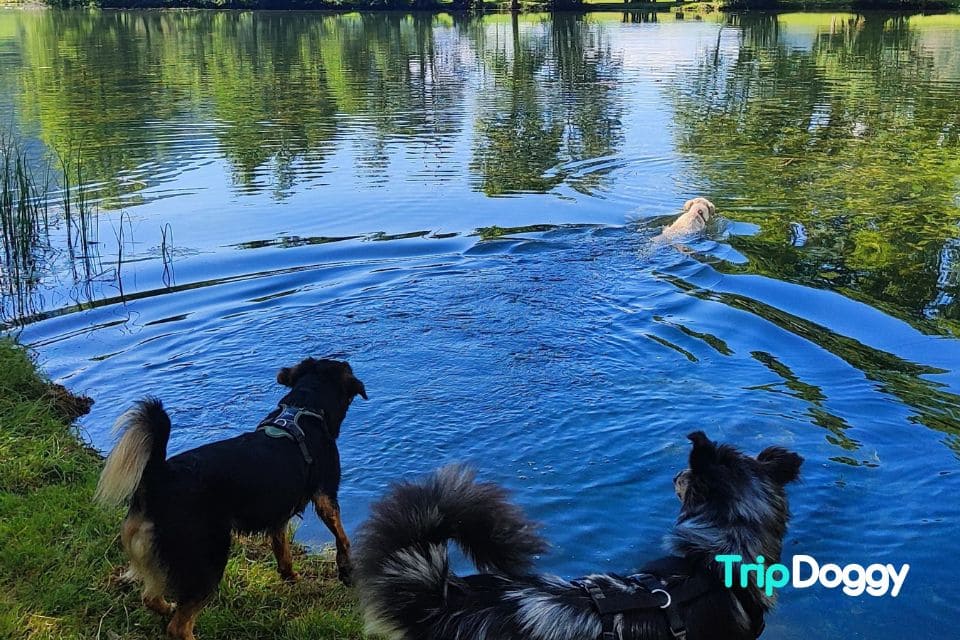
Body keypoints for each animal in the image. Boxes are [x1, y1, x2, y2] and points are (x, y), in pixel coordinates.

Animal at [94, 357, 367, 640]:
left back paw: (166, 606)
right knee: (179, 626)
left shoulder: (277, 515)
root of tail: (160, 474)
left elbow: (282, 549)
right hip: (207, 560)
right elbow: (342, 537)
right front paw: (346, 570)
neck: (302, 408)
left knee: (150, 598)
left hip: (156, 558)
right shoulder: (326, 497)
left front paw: (291, 576)